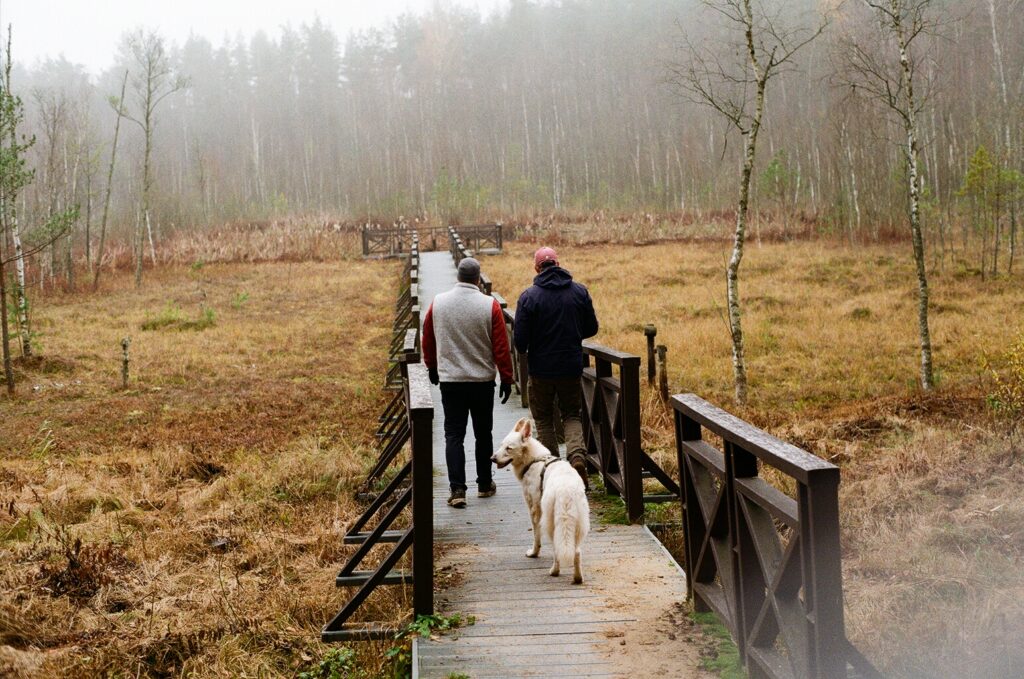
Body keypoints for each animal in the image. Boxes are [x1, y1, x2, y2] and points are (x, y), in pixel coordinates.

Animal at [491, 417, 590, 584]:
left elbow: (536, 536)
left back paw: (554, 571)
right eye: (501, 445)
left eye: (509, 448)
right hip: (580, 525)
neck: (534, 460)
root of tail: (565, 489)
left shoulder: (533, 509)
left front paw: (533, 553)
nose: (492, 458)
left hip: (550, 522)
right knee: (576, 552)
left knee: (557, 548)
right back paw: (577, 578)